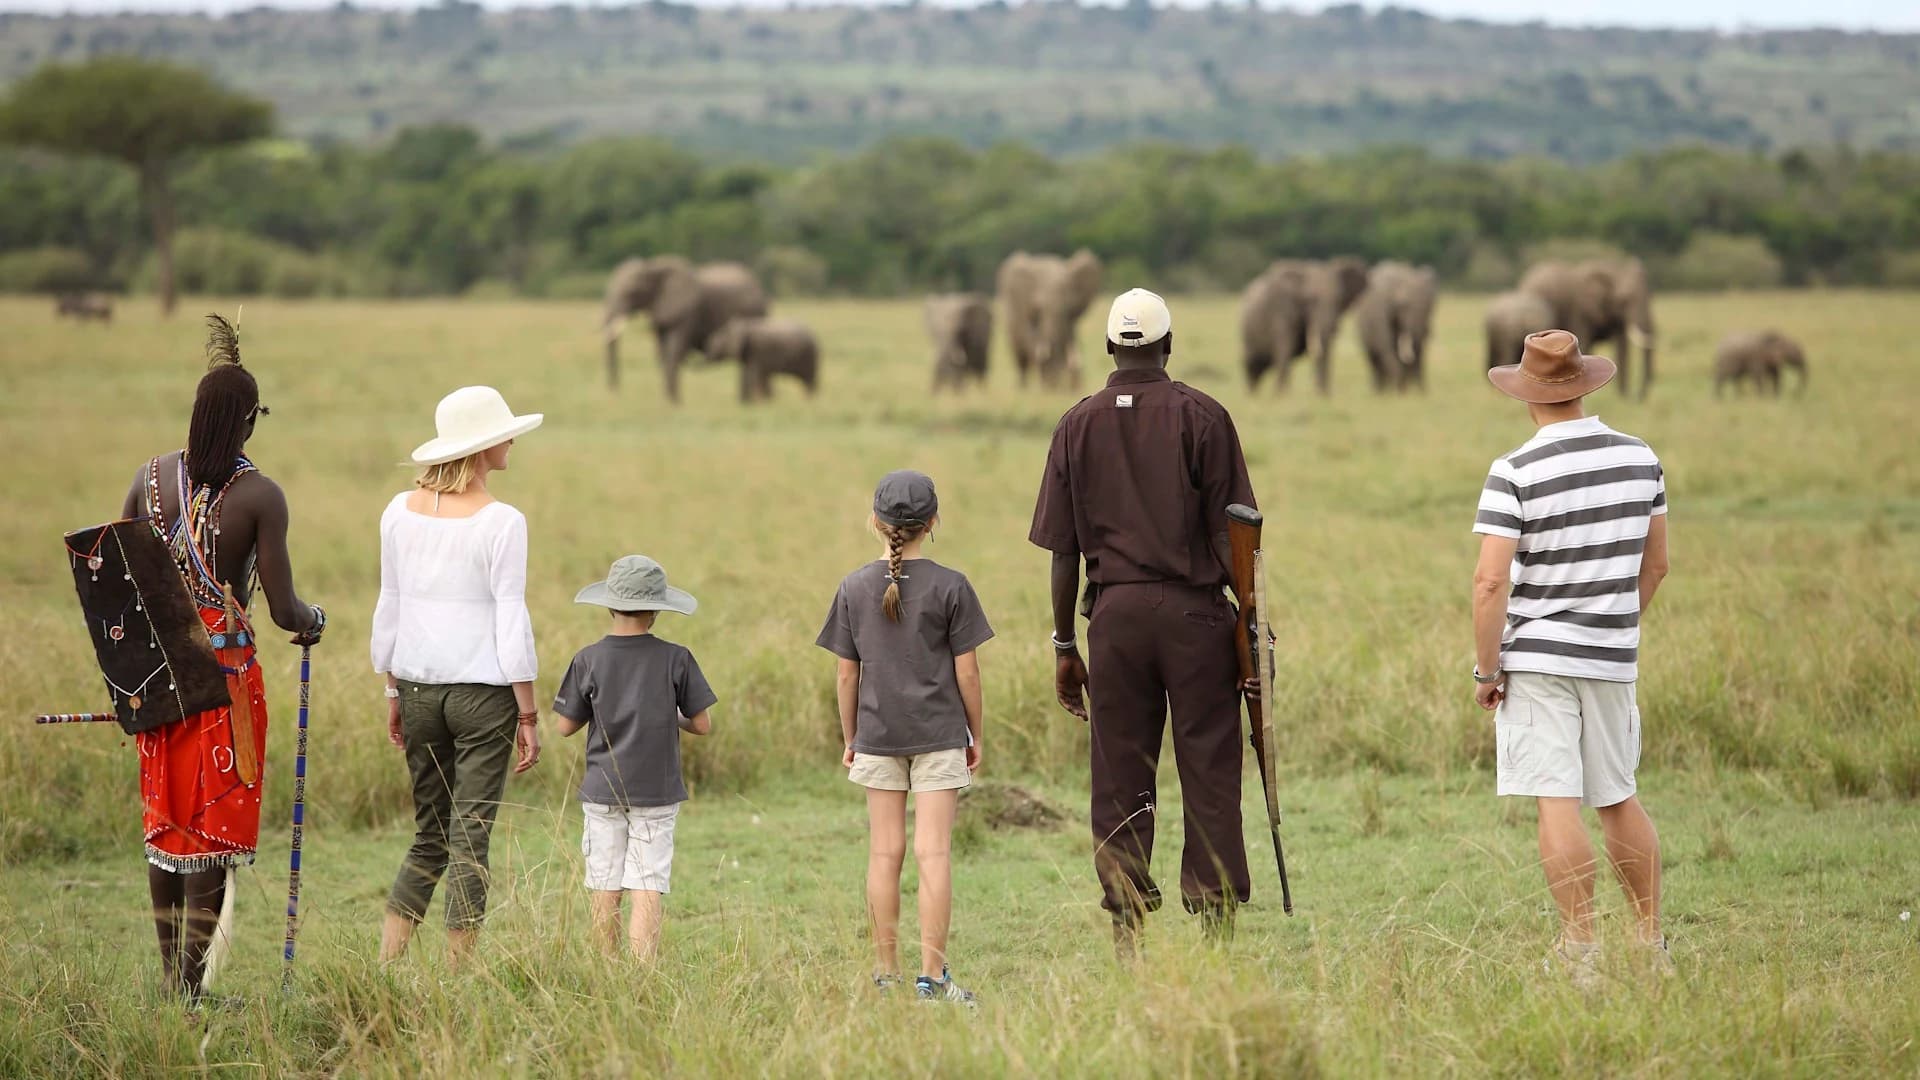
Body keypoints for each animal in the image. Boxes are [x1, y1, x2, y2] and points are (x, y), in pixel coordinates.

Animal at [600, 257, 770, 401]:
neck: (653, 267)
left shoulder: (687, 314)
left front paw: (674, 403)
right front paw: (667, 403)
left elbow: (673, 350)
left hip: (754, 314)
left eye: (632, 292)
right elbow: (663, 353)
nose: (614, 392)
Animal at [1239, 256, 1369, 394]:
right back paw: (1252, 395)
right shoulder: (1281, 310)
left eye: (1338, 300)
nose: (1335, 328)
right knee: (1251, 365)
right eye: (1310, 300)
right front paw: (1282, 395)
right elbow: (1285, 349)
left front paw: (1322, 395)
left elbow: (1325, 352)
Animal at [1354, 261, 1437, 392]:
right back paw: (1382, 390)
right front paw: (1399, 390)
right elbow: (1388, 347)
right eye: (1403, 305)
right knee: (1374, 357)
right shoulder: (1381, 315)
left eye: (1432, 306)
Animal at [1514, 258, 1656, 398]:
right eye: (1624, 300)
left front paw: (1620, 398)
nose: (1638, 397)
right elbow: (1584, 342)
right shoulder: (1580, 311)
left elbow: (1622, 347)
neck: (1610, 268)